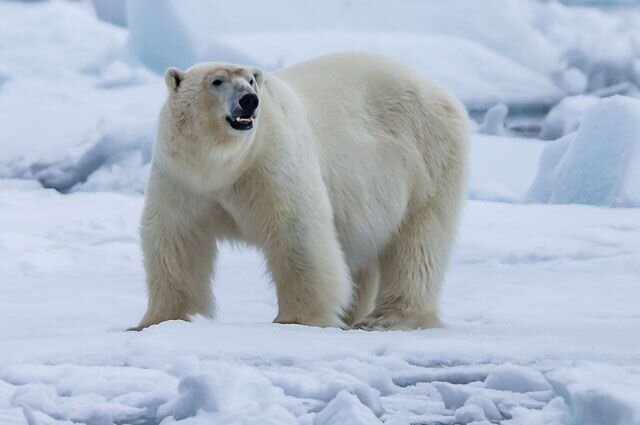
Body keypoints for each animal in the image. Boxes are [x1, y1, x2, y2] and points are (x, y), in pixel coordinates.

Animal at [131, 52, 470, 332]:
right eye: (217, 81)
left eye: (250, 80)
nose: (249, 100)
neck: (223, 166)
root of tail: (445, 93)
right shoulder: (181, 179)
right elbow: (176, 240)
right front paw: (155, 320)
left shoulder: (270, 161)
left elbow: (296, 232)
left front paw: (299, 319)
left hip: (428, 161)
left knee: (418, 244)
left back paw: (388, 317)